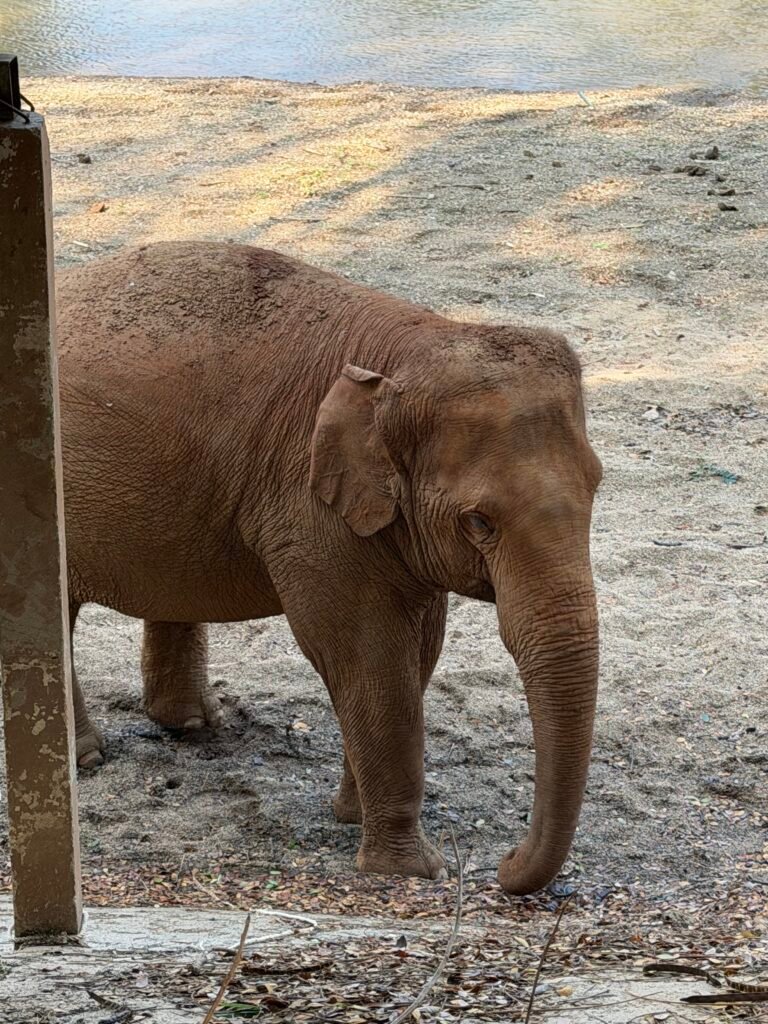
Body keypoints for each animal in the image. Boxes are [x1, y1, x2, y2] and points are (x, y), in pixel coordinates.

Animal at [57, 240, 602, 895]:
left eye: (598, 487)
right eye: (479, 522)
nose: (502, 865)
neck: (413, 345)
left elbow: (418, 650)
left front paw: (349, 814)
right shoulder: (309, 506)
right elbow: (366, 657)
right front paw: (412, 869)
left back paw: (189, 725)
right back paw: (88, 758)